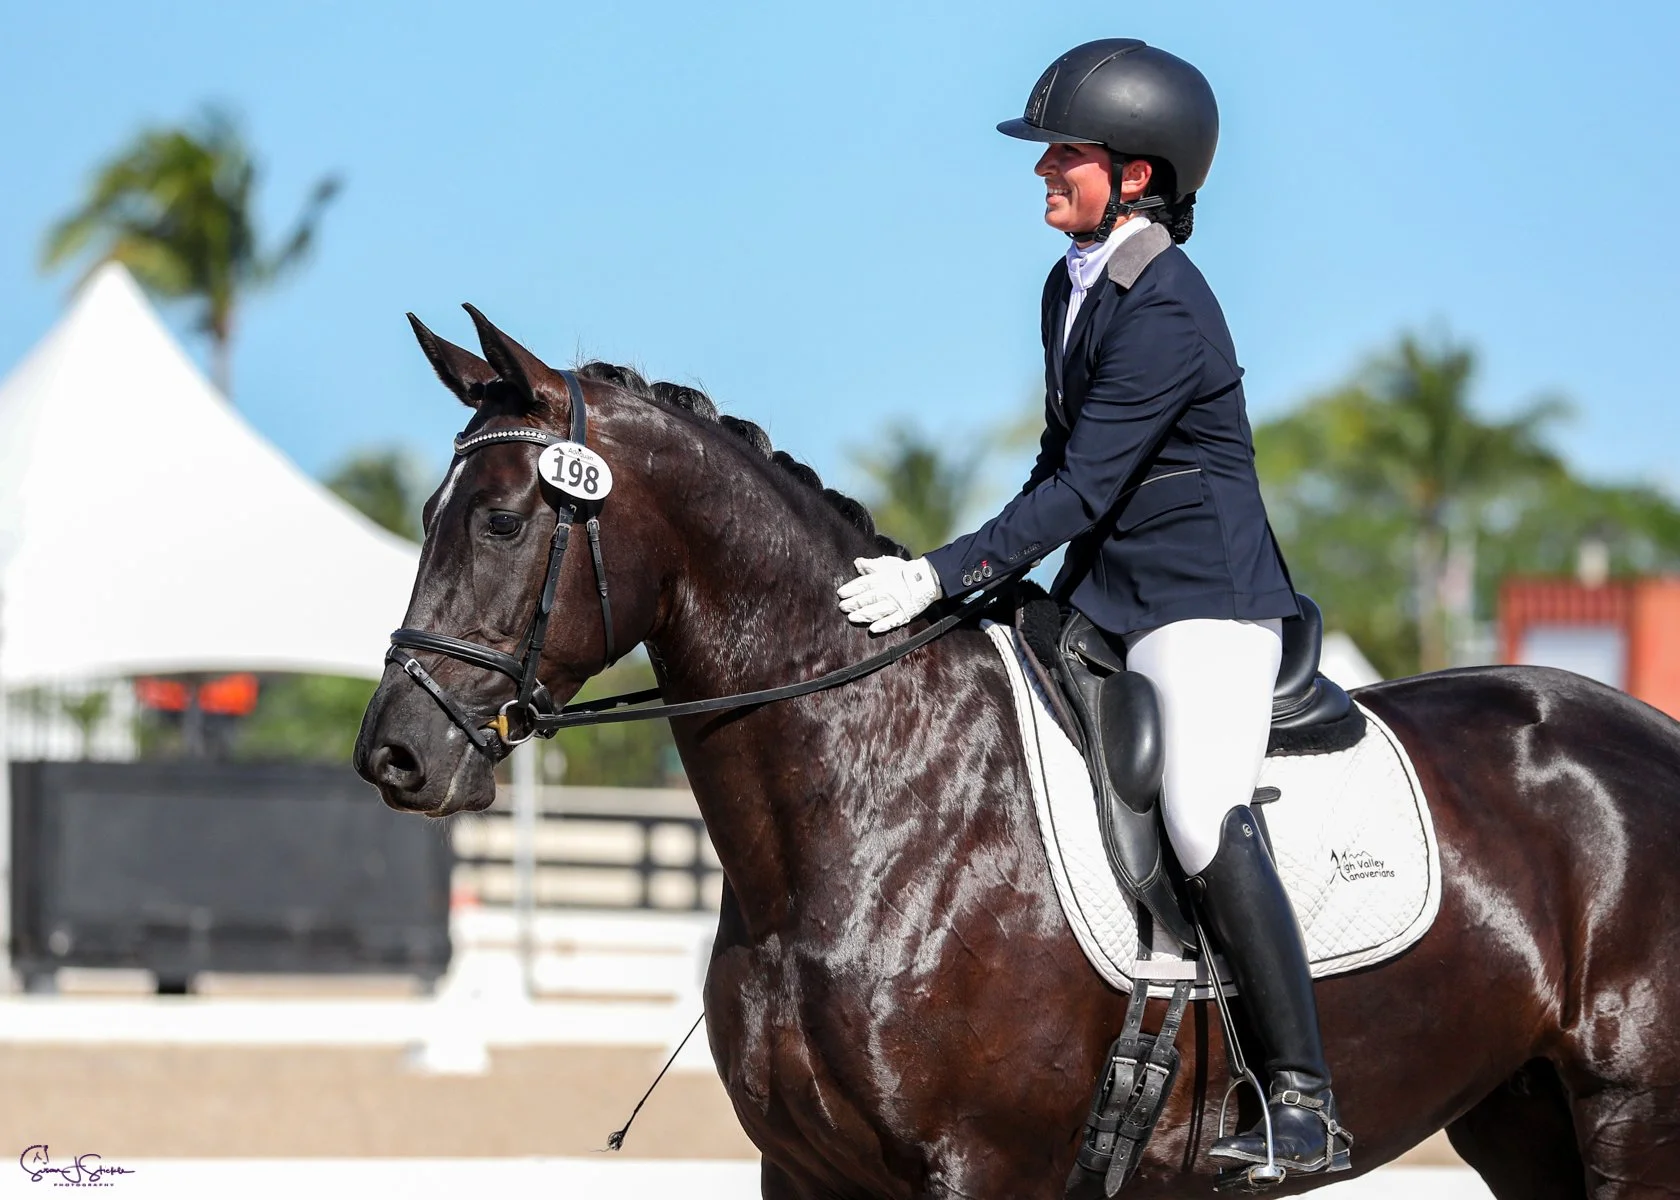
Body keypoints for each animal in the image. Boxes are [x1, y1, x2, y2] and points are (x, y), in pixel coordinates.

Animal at [354, 306, 1680, 1199]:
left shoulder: (983, 1167)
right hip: (1523, 1117)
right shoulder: (804, 1169)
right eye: (426, 514)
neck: (869, 804)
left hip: (1631, 1117)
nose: (397, 758)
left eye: (503, 521)